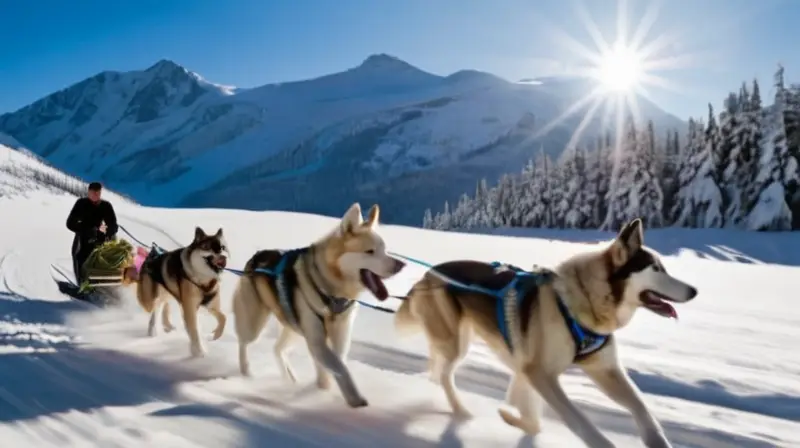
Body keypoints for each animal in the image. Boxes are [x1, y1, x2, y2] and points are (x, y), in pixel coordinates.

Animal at [137, 228, 230, 356]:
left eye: (223, 247)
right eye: (209, 247)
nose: (223, 256)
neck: (203, 280)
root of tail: (153, 254)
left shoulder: (211, 306)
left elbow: (223, 318)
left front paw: (214, 335)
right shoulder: (190, 308)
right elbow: (194, 330)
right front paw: (199, 352)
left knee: (163, 304)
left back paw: (165, 326)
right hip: (149, 299)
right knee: (155, 306)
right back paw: (154, 328)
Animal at [233, 205, 406, 408]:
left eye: (384, 250)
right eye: (370, 251)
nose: (401, 265)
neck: (333, 292)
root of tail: (255, 258)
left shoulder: (338, 336)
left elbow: (335, 365)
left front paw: (323, 389)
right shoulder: (317, 339)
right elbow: (340, 367)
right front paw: (354, 398)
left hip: (293, 329)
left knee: (277, 349)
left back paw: (290, 379)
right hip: (255, 324)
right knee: (243, 343)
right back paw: (246, 372)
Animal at [396, 219, 700, 446]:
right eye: (656, 269)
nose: (695, 290)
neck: (586, 300)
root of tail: (428, 275)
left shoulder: (603, 370)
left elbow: (641, 408)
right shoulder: (540, 374)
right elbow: (579, 422)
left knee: (437, 369)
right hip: (456, 344)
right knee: (445, 375)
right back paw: (460, 409)